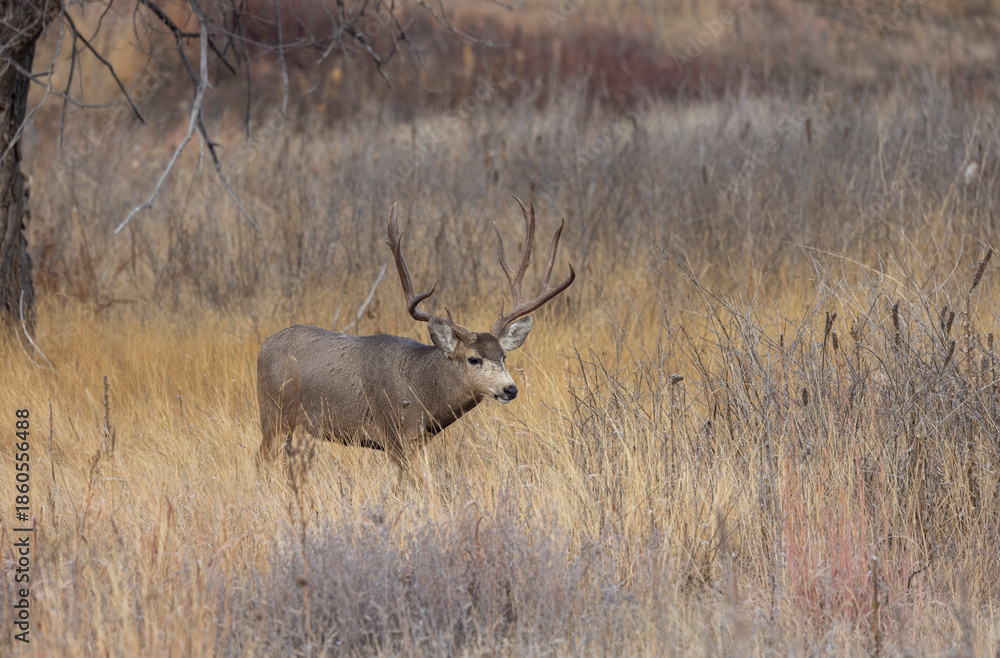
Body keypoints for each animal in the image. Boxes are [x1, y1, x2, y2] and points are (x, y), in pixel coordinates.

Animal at [255, 197, 574, 490]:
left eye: (504, 357)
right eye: (473, 358)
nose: (510, 389)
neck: (419, 386)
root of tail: (264, 345)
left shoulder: (417, 441)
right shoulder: (393, 432)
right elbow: (421, 485)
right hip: (271, 413)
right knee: (263, 459)